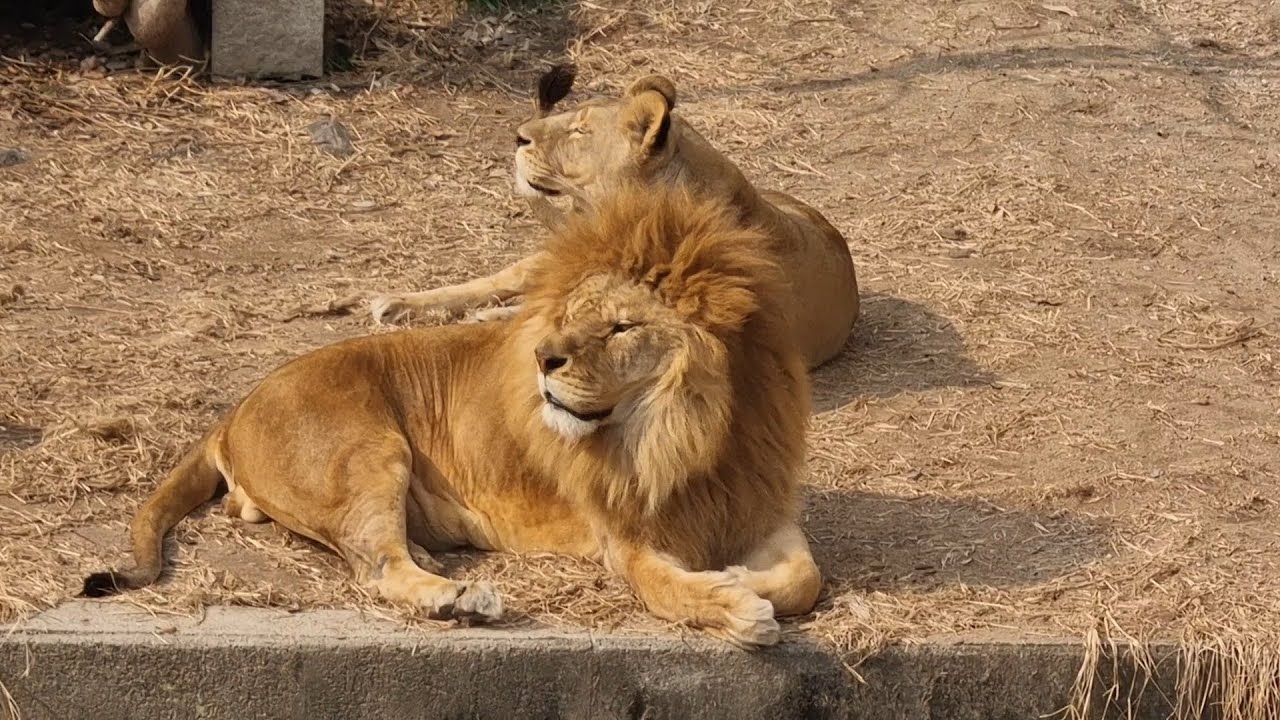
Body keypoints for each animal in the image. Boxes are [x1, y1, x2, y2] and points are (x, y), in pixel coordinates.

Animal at [81, 184, 821, 648]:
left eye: (619, 327)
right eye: (573, 314)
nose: (543, 357)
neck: (692, 433)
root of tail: (234, 409)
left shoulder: (759, 505)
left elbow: (804, 579)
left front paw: (739, 577)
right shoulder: (628, 541)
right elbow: (673, 590)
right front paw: (735, 604)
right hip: (371, 451)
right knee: (377, 566)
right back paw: (461, 599)